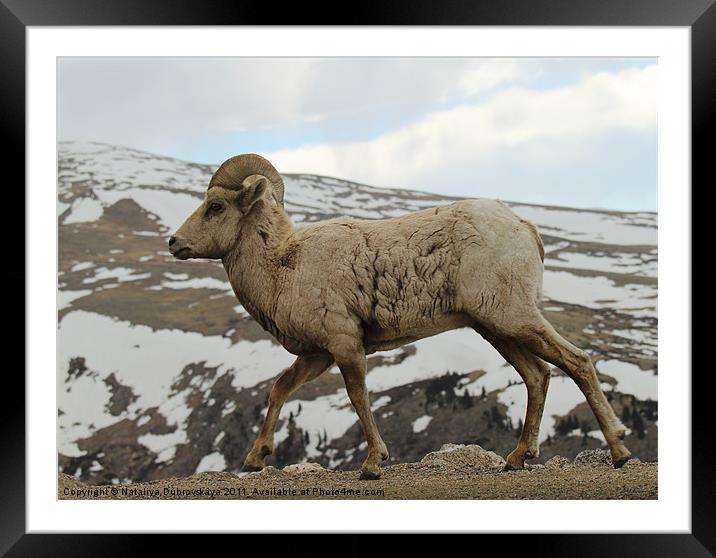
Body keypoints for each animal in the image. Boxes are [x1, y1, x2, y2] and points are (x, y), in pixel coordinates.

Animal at [169, 154, 632, 482]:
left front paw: (374, 464)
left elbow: (358, 397)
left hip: (514, 316)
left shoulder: (344, 345)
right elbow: (279, 388)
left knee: (577, 362)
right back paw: (516, 459)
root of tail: (524, 227)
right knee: (537, 375)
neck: (284, 266)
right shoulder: (318, 354)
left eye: (215, 206)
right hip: (495, 327)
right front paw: (254, 459)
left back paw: (619, 451)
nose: (173, 242)